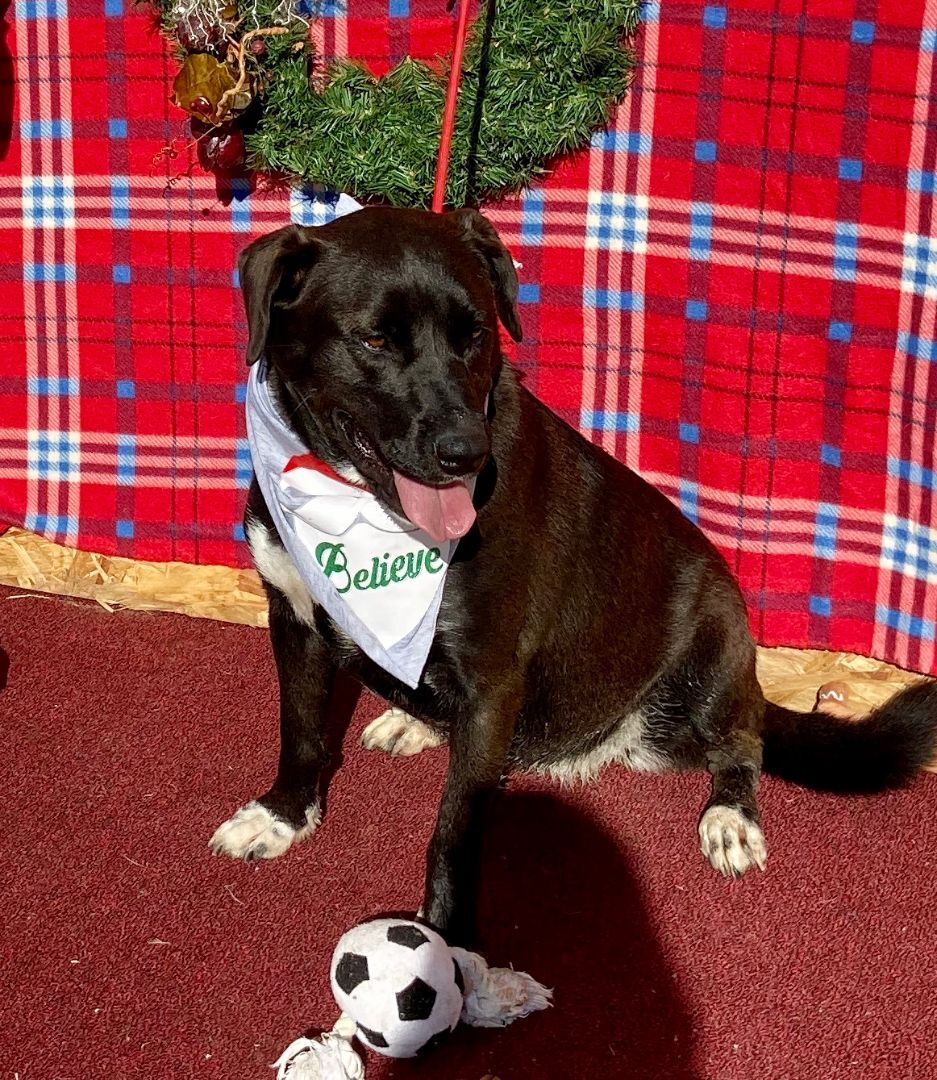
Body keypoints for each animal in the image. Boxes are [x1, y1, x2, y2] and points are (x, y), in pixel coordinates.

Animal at [212, 204, 936, 946]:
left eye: (475, 334)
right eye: (375, 340)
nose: (466, 453)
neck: (354, 505)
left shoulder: (491, 678)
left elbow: (453, 832)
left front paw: (445, 942)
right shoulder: (294, 619)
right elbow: (299, 731)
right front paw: (283, 816)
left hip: (711, 655)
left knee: (743, 741)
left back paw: (731, 817)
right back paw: (414, 722)